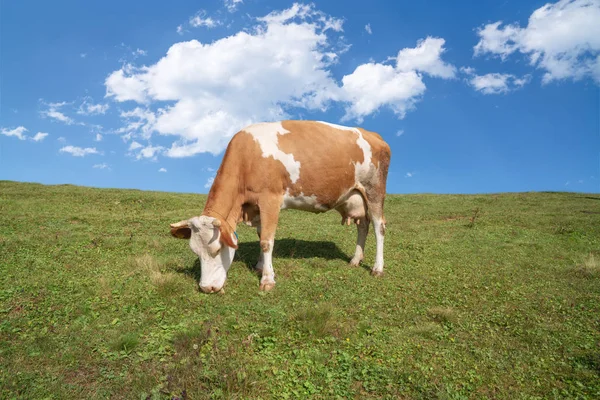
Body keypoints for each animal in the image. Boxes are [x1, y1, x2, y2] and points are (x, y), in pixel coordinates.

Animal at [170, 120, 394, 292]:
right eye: (195, 251)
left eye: (217, 250)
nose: (206, 288)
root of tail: (373, 134)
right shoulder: (257, 206)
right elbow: (261, 235)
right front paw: (260, 266)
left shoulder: (270, 199)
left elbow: (266, 241)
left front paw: (267, 280)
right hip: (356, 195)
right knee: (363, 225)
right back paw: (355, 260)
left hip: (374, 191)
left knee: (378, 227)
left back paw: (378, 268)